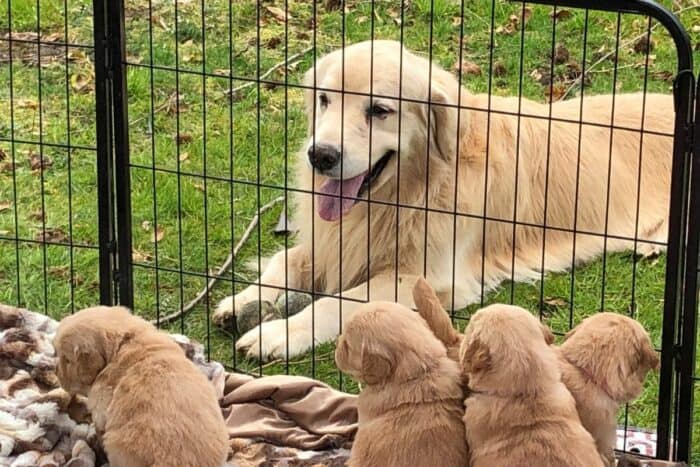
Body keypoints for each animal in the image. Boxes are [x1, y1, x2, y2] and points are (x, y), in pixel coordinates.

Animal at [215, 39, 672, 362]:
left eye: (379, 110)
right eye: (325, 99)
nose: (320, 155)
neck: (409, 193)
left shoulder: (427, 277)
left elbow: (339, 301)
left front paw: (277, 334)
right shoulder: (333, 243)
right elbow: (283, 261)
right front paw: (242, 301)